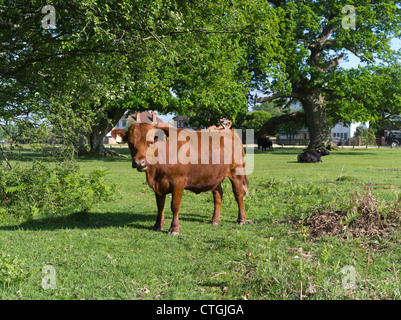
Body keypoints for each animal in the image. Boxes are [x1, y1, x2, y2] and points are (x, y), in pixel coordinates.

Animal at [111, 122, 248, 235]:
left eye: (150, 142)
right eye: (130, 143)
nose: (140, 163)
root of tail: (229, 131)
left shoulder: (178, 182)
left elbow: (175, 205)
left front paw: (174, 228)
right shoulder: (158, 185)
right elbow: (160, 205)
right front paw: (157, 225)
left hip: (236, 172)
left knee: (238, 194)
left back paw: (241, 219)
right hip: (215, 176)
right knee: (218, 194)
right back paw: (215, 219)